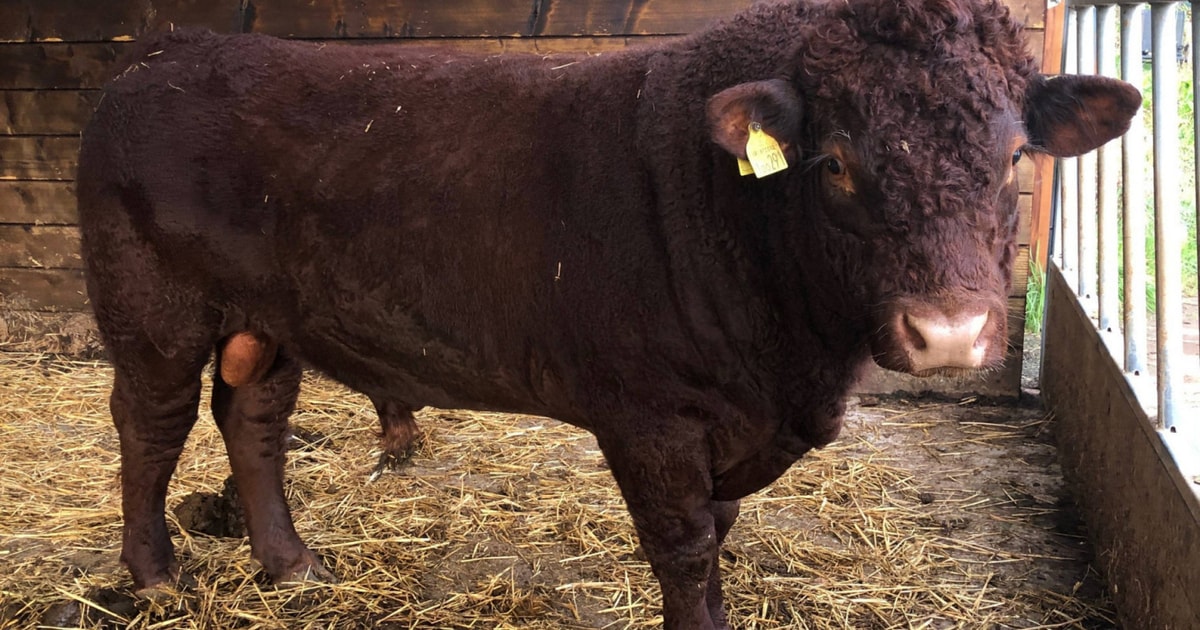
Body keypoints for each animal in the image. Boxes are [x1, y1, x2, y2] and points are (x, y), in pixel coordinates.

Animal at [76, 0, 1139, 627]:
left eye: (1013, 156)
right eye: (835, 162)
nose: (949, 332)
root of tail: (168, 50)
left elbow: (720, 534)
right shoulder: (650, 416)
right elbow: (685, 547)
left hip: (271, 316)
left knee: (251, 416)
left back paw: (288, 562)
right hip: (150, 304)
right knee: (151, 422)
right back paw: (153, 572)